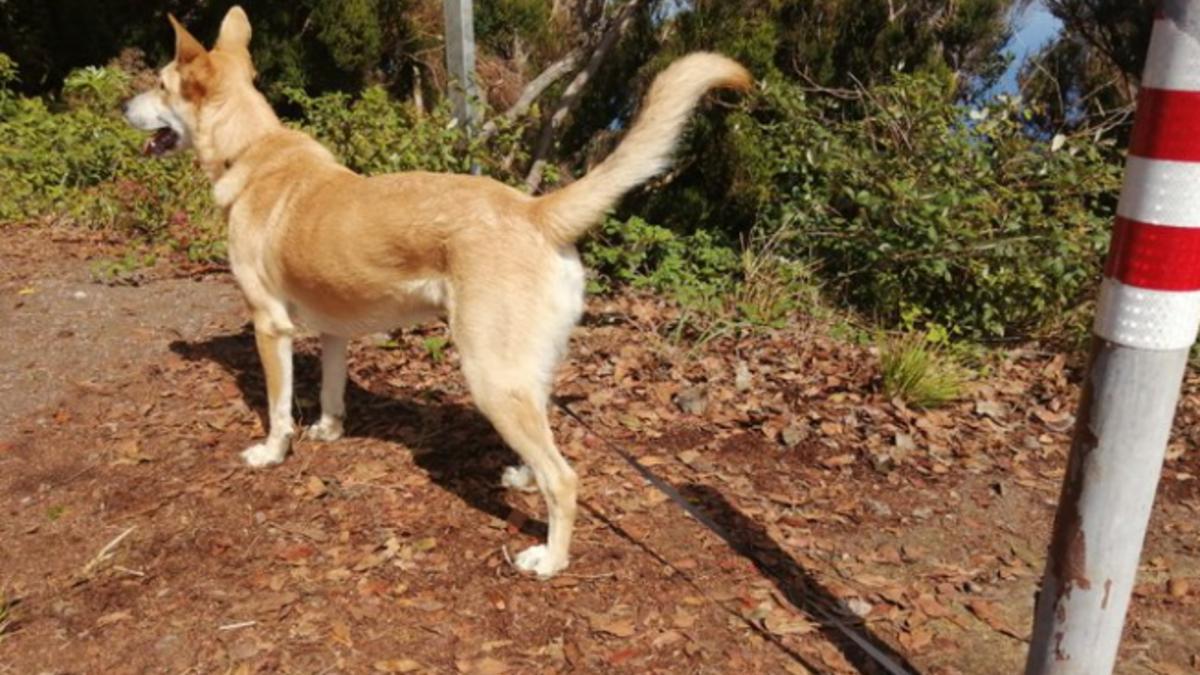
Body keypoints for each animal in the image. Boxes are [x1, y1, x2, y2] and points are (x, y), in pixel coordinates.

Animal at [129, 5, 748, 576]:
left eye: (159, 83)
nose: (121, 106)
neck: (253, 151)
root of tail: (534, 210)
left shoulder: (269, 325)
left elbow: (279, 410)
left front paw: (272, 452)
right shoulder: (333, 332)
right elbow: (331, 393)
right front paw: (328, 431)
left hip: (488, 374)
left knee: (565, 478)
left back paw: (549, 558)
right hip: (524, 369)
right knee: (542, 445)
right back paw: (523, 476)